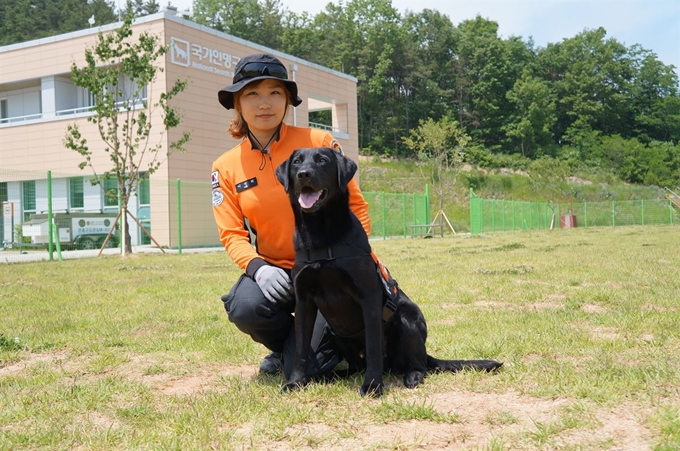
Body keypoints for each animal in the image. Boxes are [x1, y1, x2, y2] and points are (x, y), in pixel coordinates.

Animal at [274, 147, 502, 398]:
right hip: (336, 333)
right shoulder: (304, 302)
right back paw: (332, 375)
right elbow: (301, 349)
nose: (304, 174)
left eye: (322, 160)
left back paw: (412, 375)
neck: (321, 236)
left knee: (417, 363)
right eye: (296, 162)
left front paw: (373, 385)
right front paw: (296, 382)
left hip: (407, 317)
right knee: (356, 366)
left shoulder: (369, 297)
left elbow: (374, 347)